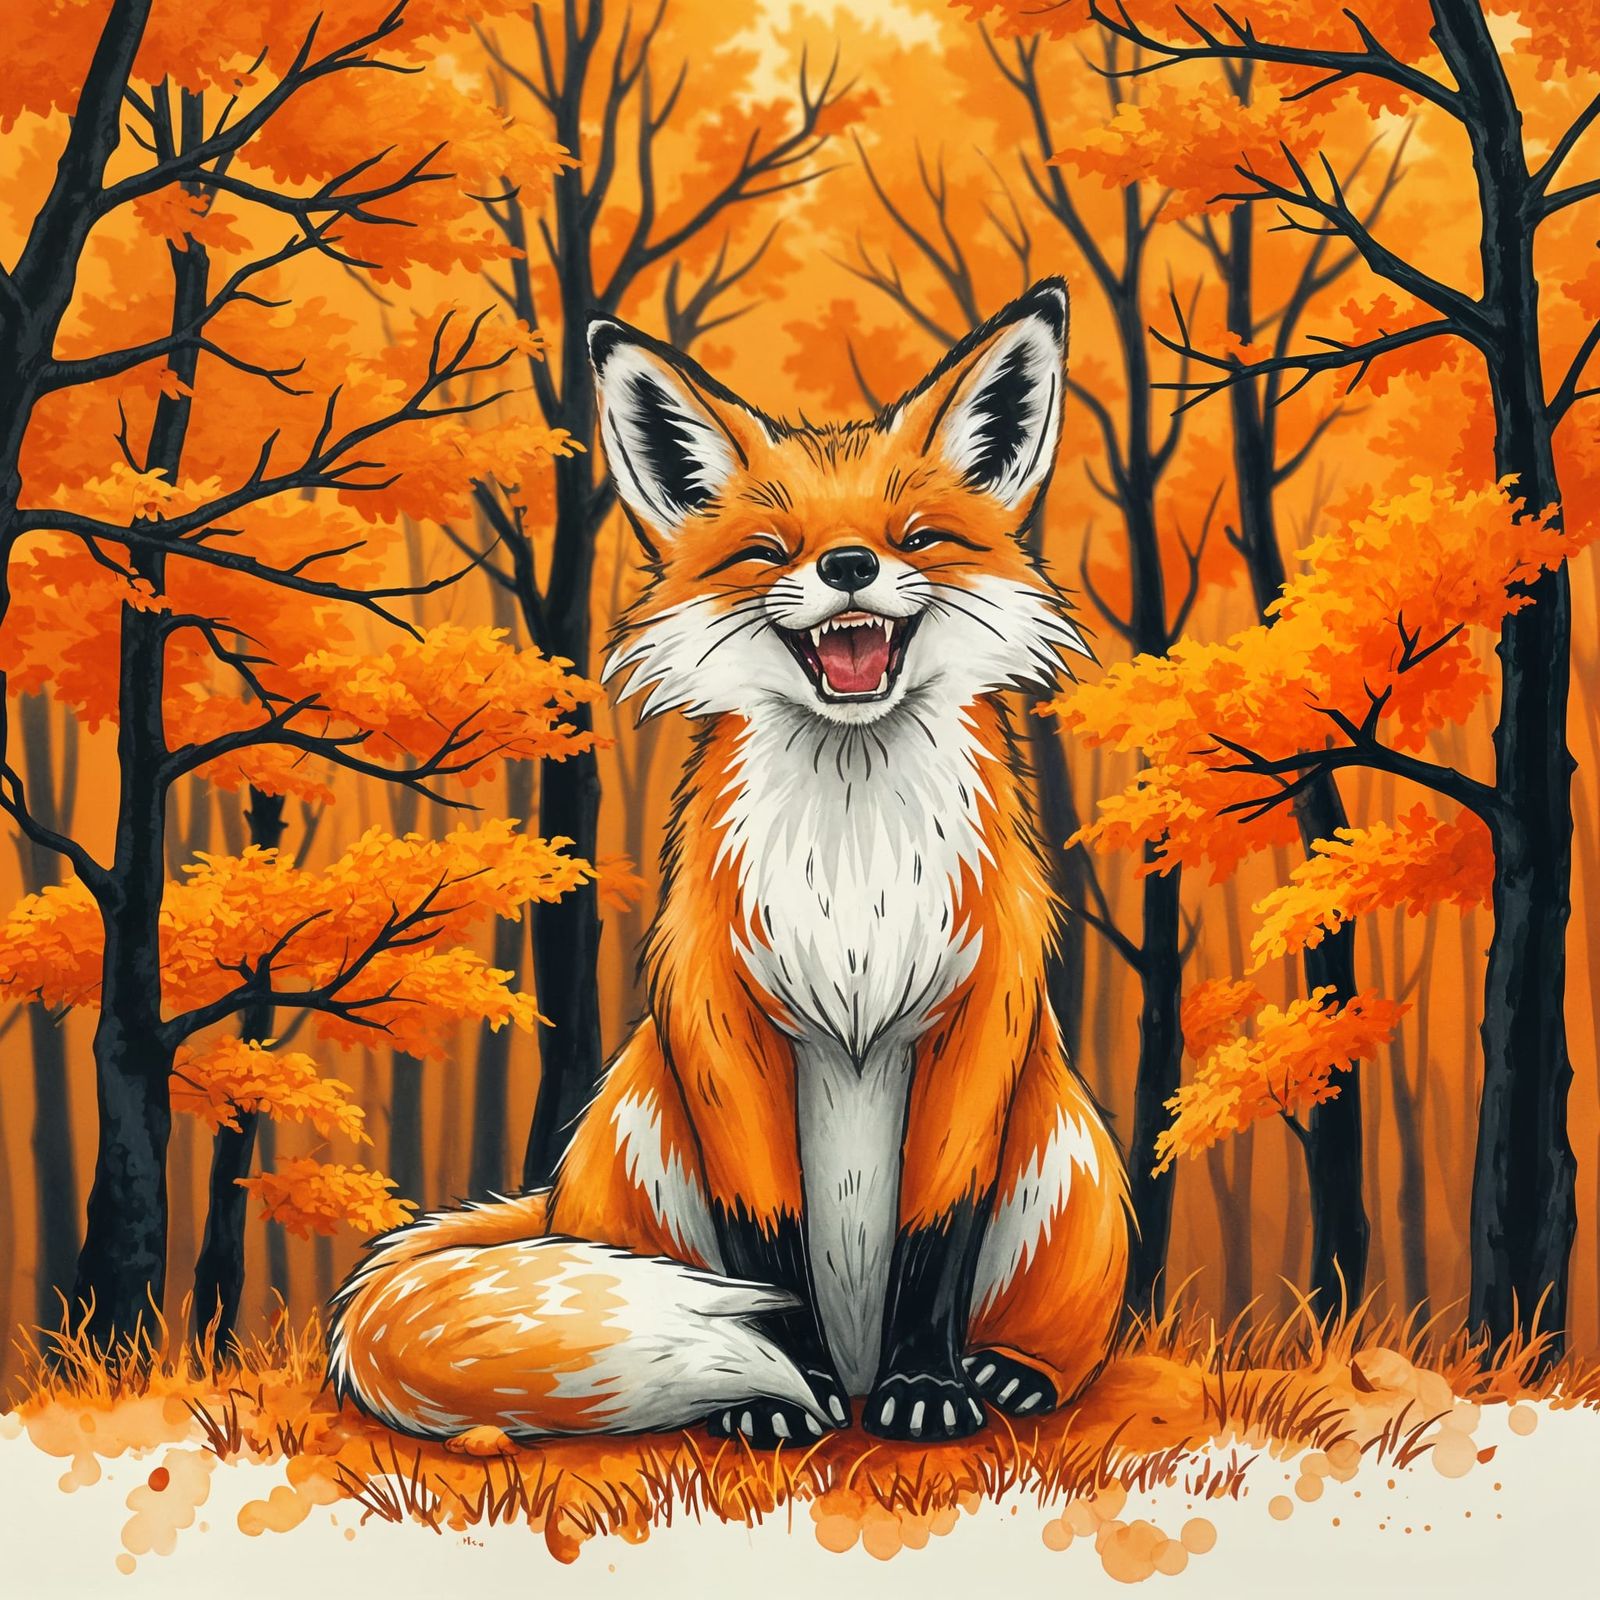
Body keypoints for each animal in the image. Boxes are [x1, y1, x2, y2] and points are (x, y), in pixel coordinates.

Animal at [327, 278, 1131, 1447]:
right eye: (770, 549)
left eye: (917, 536)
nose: (848, 566)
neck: (855, 865)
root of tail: (549, 1204)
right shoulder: (719, 1013)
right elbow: (768, 1243)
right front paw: (778, 1394)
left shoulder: (981, 1016)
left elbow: (937, 1233)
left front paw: (928, 1388)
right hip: (637, 1134)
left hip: (1065, 1147)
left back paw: (1006, 1370)